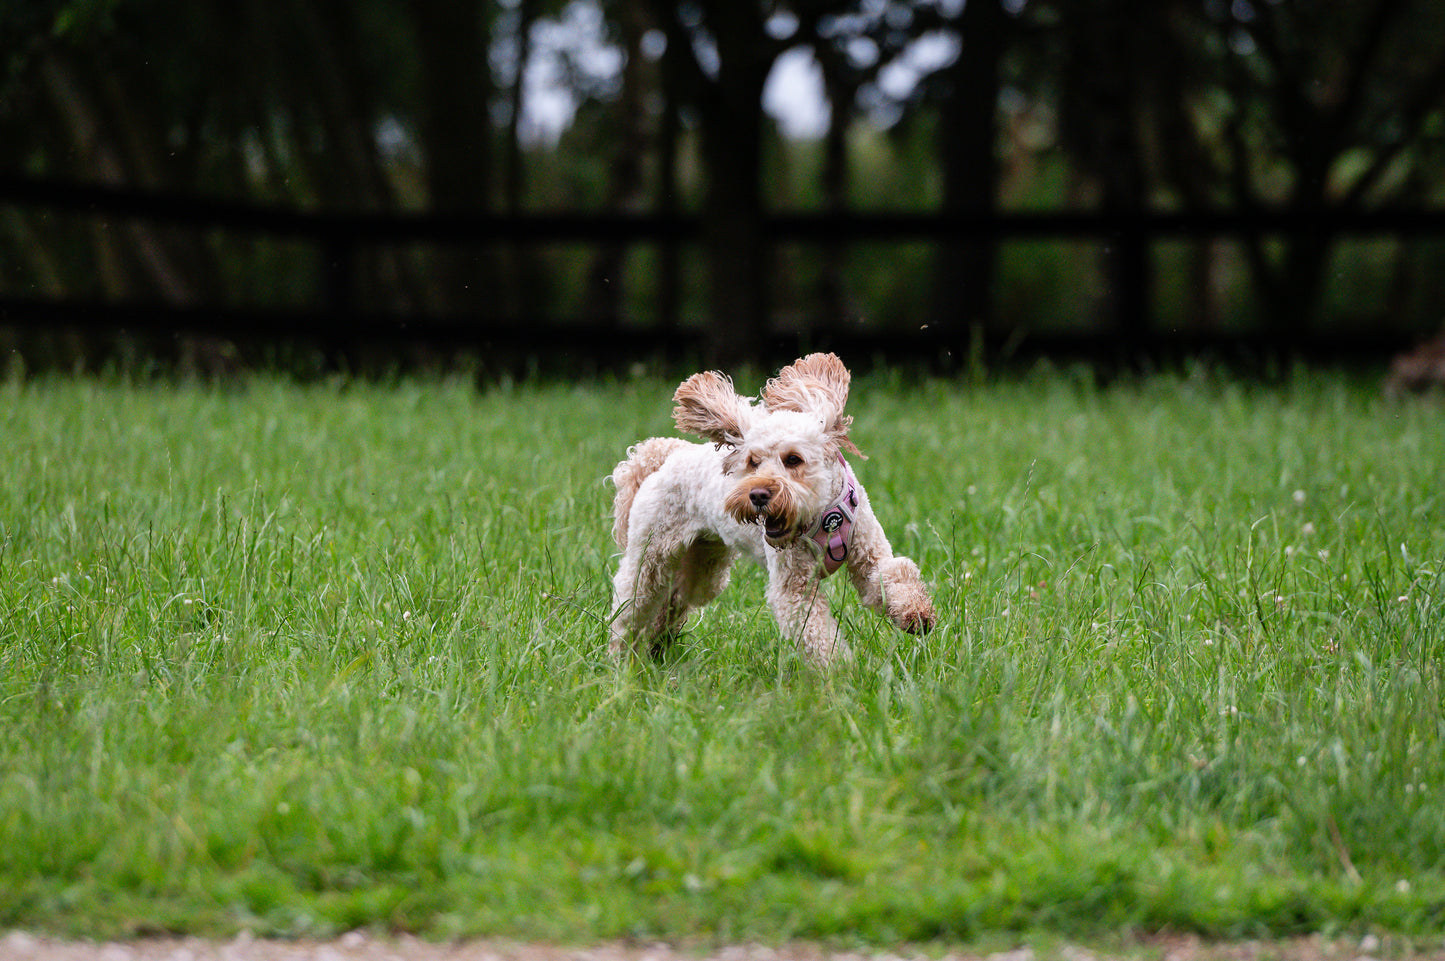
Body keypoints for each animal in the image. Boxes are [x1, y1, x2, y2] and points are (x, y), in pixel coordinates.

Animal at [606, 352, 936, 667]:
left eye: (793, 459)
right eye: (753, 461)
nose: (758, 494)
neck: (823, 518)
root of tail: (669, 454)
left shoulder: (870, 555)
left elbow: (894, 574)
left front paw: (916, 615)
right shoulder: (794, 588)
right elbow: (816, 633)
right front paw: (842, 672)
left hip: (704, 564)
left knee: (675, 596)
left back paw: (658, 645)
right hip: (650, 555)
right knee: (631, 605)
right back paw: (621, 661)